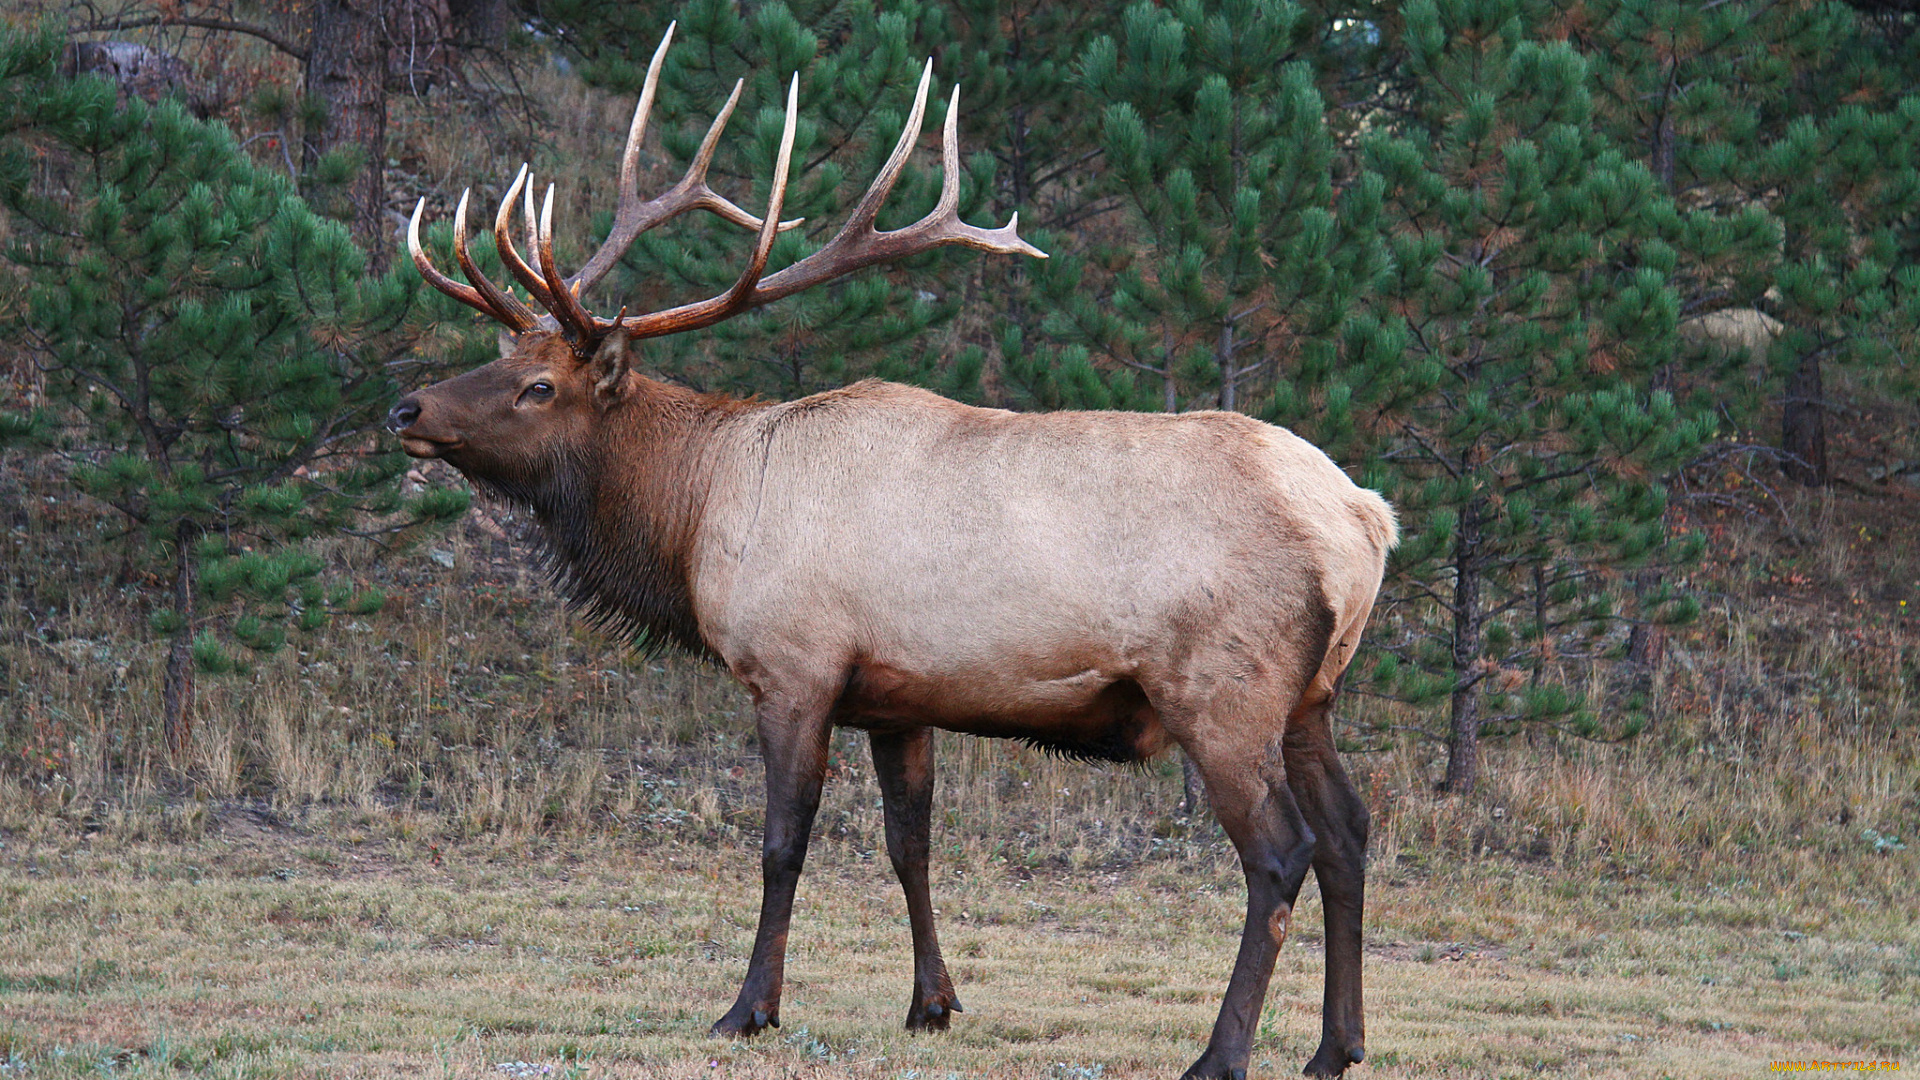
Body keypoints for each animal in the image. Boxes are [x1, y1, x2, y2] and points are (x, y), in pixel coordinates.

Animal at [385, 25, 1397, 1076]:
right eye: (500, 356)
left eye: (539, 385)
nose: (407, 408)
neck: (699, 514)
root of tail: (1366, 521)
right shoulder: (899, 697)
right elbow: (909, 845)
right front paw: (932, 1002)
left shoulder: (795, 668)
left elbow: (781, 846)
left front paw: (747, 1008)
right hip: (1311, 694)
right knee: (1349, 834)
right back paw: (1336, 1047)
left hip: (1222, 688)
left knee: (1281, 853)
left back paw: (1222, 1053)